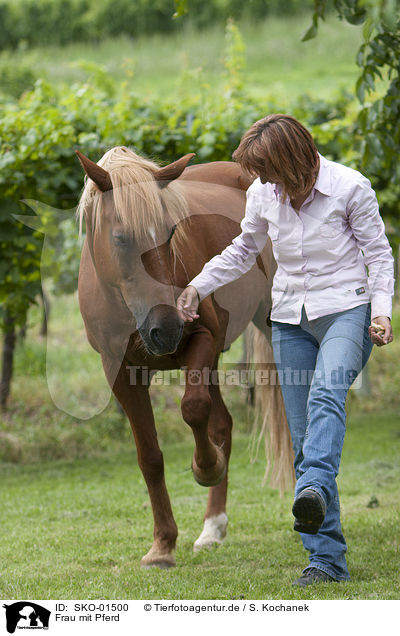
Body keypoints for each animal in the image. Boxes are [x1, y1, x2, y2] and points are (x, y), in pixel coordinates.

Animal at [76, 147, 294, 568]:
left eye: (171, 233)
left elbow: (193, 409)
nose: (168, 328)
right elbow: (150, 455)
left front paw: (206, 468)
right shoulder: (120, 373)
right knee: (222, 423)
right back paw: (213, 527)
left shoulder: (203, 340)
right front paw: (163, 544)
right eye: (120, 238)